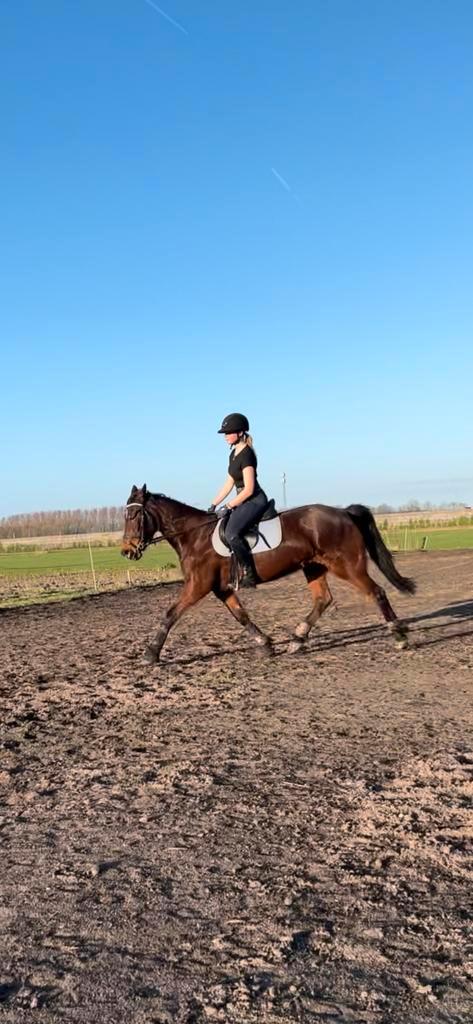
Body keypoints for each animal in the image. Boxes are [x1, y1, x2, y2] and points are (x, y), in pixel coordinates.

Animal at [120, 485, 413, 663]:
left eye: (133, 516)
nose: (126, 551)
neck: (195, 536)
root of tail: (343, 512)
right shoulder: (222, 588)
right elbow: (241, 616)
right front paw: (265, 643)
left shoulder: (198, 585)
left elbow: (170, 614)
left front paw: (150, 653)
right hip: (314, 567)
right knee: (323, 600)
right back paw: (297, 640)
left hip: (347, 566)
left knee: (376, 592)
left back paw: (399, 637)